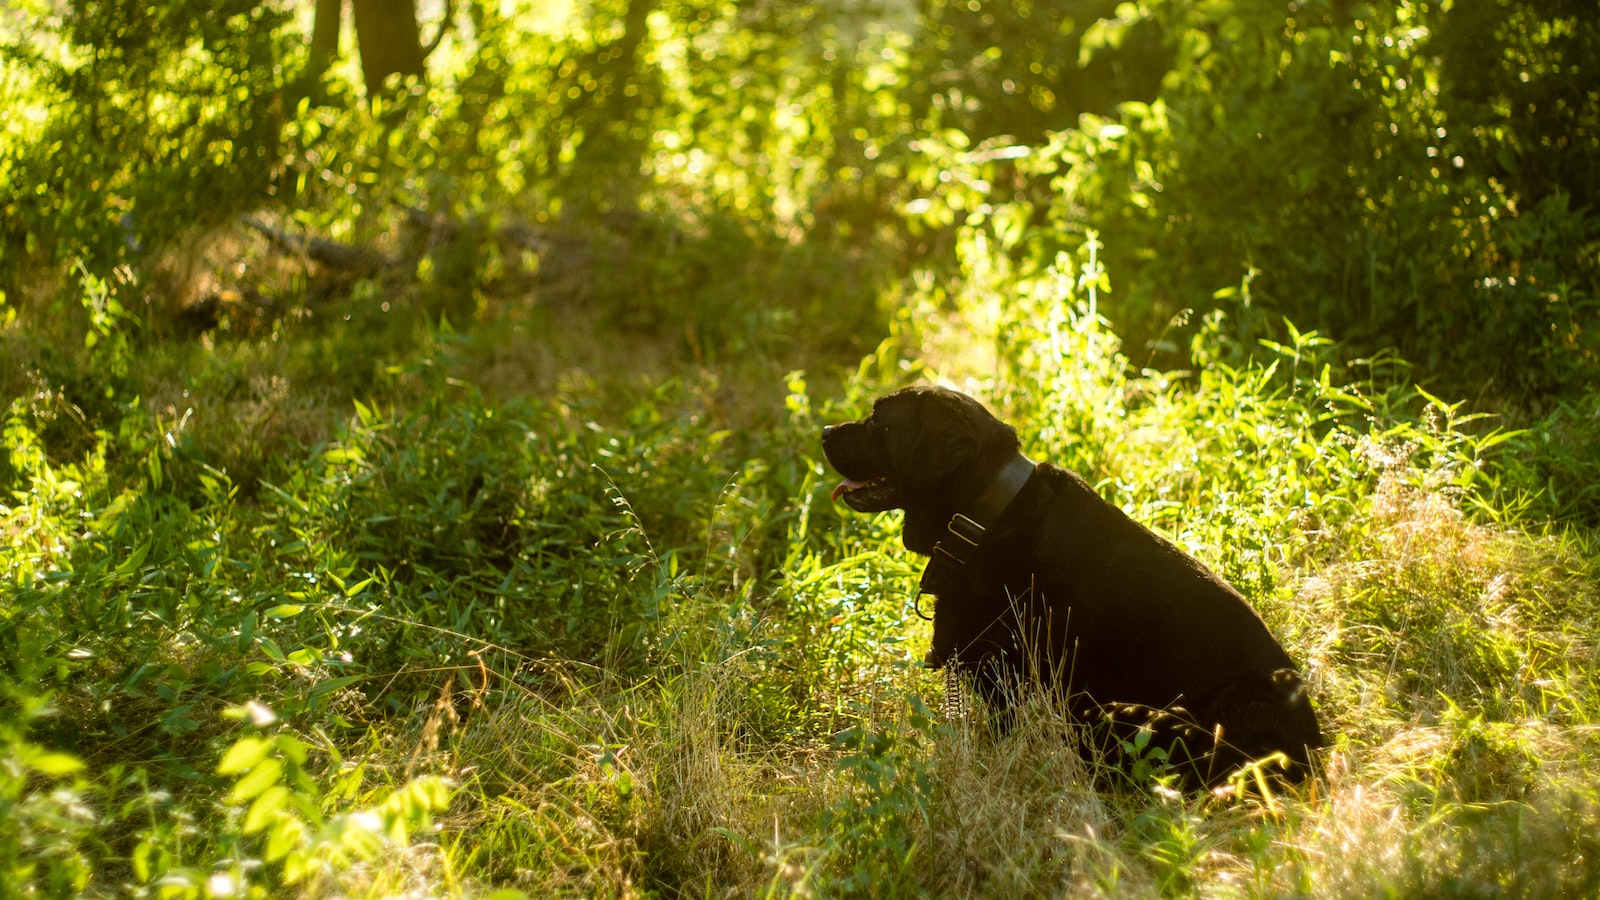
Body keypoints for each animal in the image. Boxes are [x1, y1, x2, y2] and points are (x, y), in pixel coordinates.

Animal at [825, 385, 1324, 784]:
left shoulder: (1014, 684)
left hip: (1243, 698)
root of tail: (1318, 753)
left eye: (880, 423)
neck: (985, 517)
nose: (826, 430)